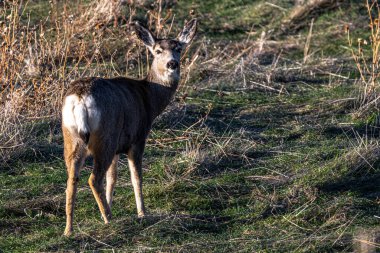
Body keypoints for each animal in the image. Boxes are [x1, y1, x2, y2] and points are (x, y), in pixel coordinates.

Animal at [60, 18, 197, 236]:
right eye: (158, 50)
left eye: (179, 48)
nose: (172, 63)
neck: (149, 98)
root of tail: (80, 98)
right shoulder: (137, 138)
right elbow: (136, 177)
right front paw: (142, 213)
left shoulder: (118, 146)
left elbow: (113, 178)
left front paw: (108, 205)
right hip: (105, 136)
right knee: (93, 179)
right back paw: (109, 219)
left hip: (72, 138)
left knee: (72, 179)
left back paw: (69, 229)